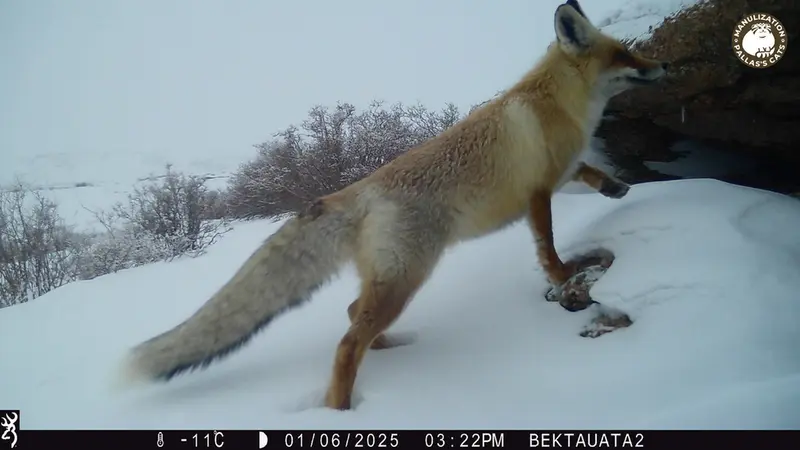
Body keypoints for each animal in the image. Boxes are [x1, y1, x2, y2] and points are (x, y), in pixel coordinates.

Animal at [117, 0, 668, 410]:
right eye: (625, 54)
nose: (663, 66)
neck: (557, 104)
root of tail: (353, 190)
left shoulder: (563, 168)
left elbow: (589, 172)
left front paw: (616, 187)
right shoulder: (536, 191)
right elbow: (547, 246)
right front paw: (562, 275)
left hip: (388, 282)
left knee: (352, 317)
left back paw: (387, 349)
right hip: (406, 278)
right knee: (346, 343)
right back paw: (340, 410)